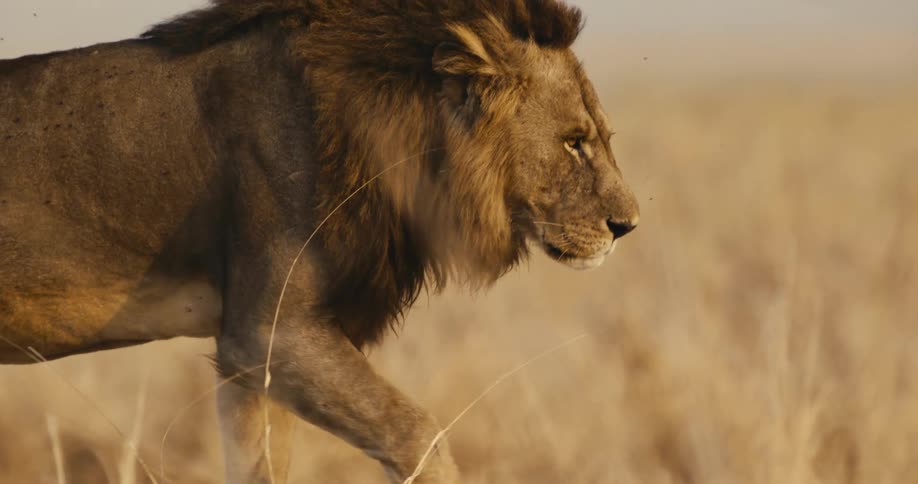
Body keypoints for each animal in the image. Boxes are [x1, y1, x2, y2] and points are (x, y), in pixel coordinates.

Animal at [0, 1, 639, 482]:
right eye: (574, 142)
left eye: (603, 137)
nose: (628, 226)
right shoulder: (269, 333)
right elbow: (418, 435)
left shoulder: (247, 362)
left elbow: (260, 466)